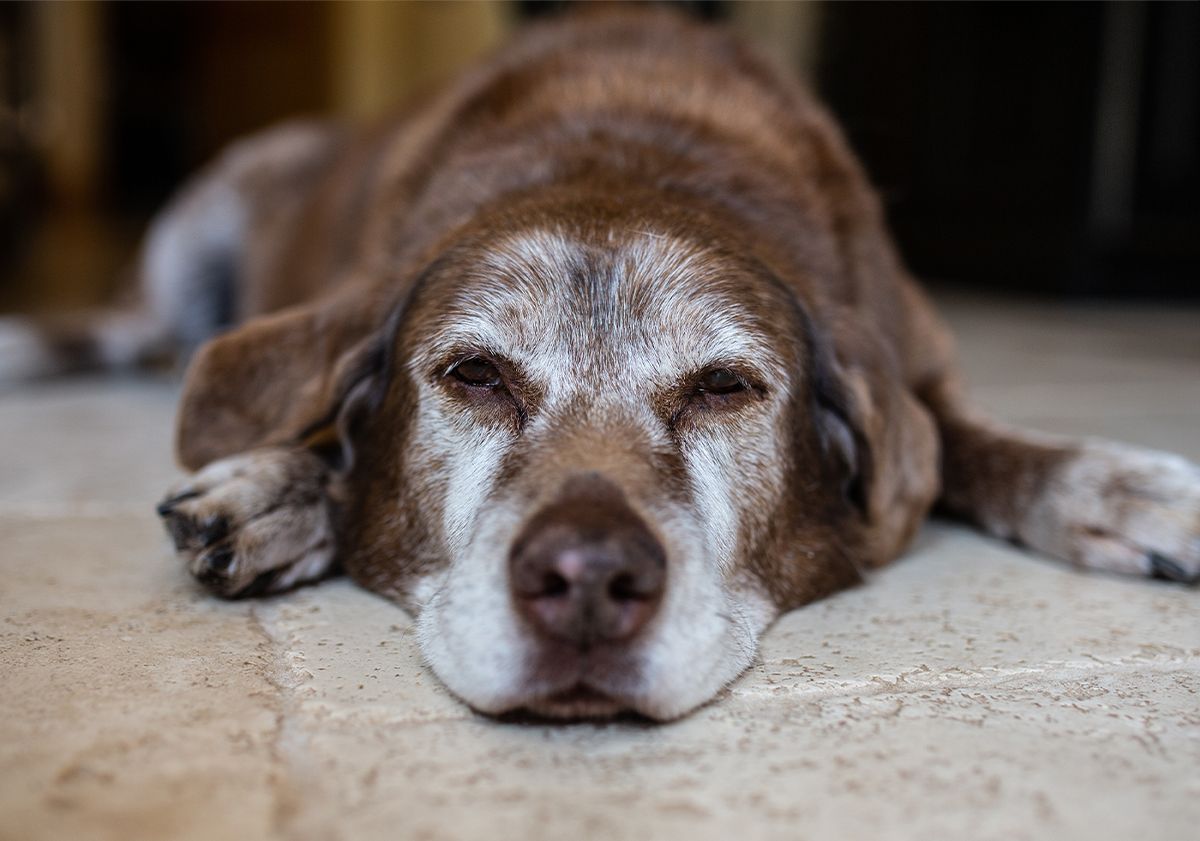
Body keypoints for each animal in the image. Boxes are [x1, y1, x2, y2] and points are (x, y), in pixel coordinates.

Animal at [4, 6, 1195, 719]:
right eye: (475, 375)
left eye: (725, 387)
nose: (585, 582)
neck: (627, 154)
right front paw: (275, 487)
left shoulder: (918, 369)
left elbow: (977, 444)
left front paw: (1126, 490)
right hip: (202, 216)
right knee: (126, 335)